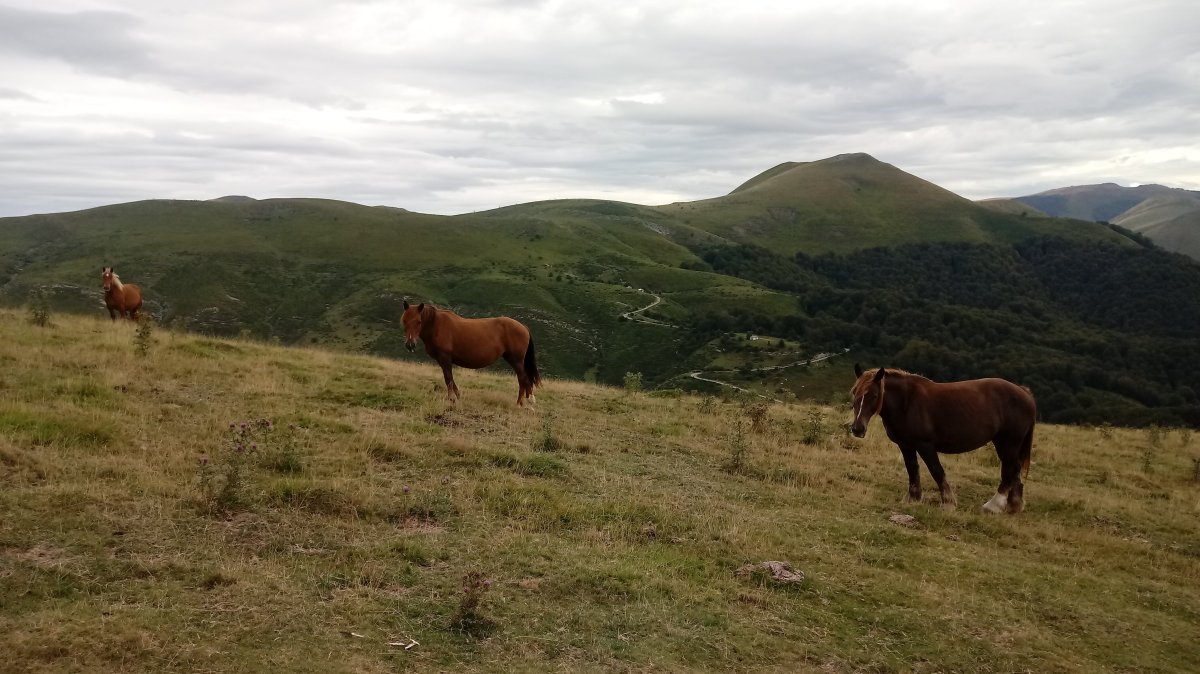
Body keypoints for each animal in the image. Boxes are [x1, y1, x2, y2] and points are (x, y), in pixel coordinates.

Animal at [400, 303, 542, 407]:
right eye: (404, 321)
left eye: (418, 321)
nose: (410, 344)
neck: (436, 324)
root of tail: (523, 326)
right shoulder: (442, 360)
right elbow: (450, 378)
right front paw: (457, 396)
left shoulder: (445, 358)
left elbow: (448, 378)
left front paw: (452, 398)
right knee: (522, 380)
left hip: (516, 360)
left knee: (523, 379)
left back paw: (523, 403)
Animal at [849, 364, 1036, 510]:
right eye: (854, 393)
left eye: (873, 395)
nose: (857, 429)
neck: (907, 402)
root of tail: (1024, 392)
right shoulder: (906, 444)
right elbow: (912, 469)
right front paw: (913, 498)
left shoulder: (925, 445)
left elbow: (936, 470)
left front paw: (948, 502)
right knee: (1015, 469)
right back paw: (1013, 505)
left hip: (1009, 442)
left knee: (1009, 469)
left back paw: (994, 505)